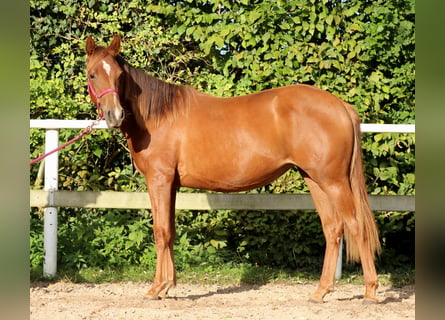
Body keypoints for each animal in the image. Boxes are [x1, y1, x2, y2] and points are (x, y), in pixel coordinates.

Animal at [85, 34, 380, 302]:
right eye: (92, 75)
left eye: (119, 76)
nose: (115, 115)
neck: (158, 116)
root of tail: (341, 106)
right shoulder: (171, 185)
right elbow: (170, 232)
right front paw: (168, 285)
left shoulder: (159, 181)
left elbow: (161, 232)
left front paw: (156, 288)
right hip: (315, 179)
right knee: (333, 228)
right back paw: (320, 292)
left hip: (334, 182)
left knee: (356, 225)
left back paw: (370, 292)